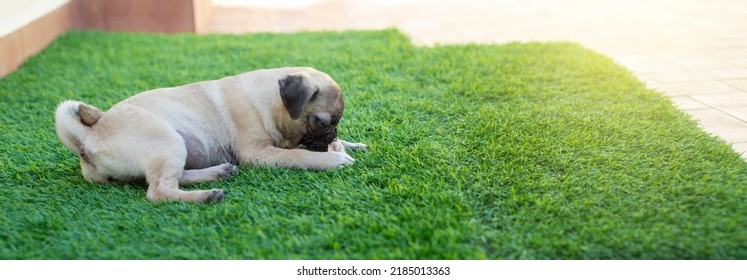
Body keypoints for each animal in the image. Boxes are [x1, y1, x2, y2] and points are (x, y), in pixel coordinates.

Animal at [54, 67, 366, 203]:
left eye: (335, 123)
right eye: (323, 122)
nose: (332, 133)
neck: (268, 99)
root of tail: (87, 137)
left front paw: (349, 144)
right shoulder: (259, 153)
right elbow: (299, 155)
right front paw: (333, 159)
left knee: (173, 178)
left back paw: (218, 173)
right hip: (167, 142)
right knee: (158, 191)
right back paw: (207, 195)